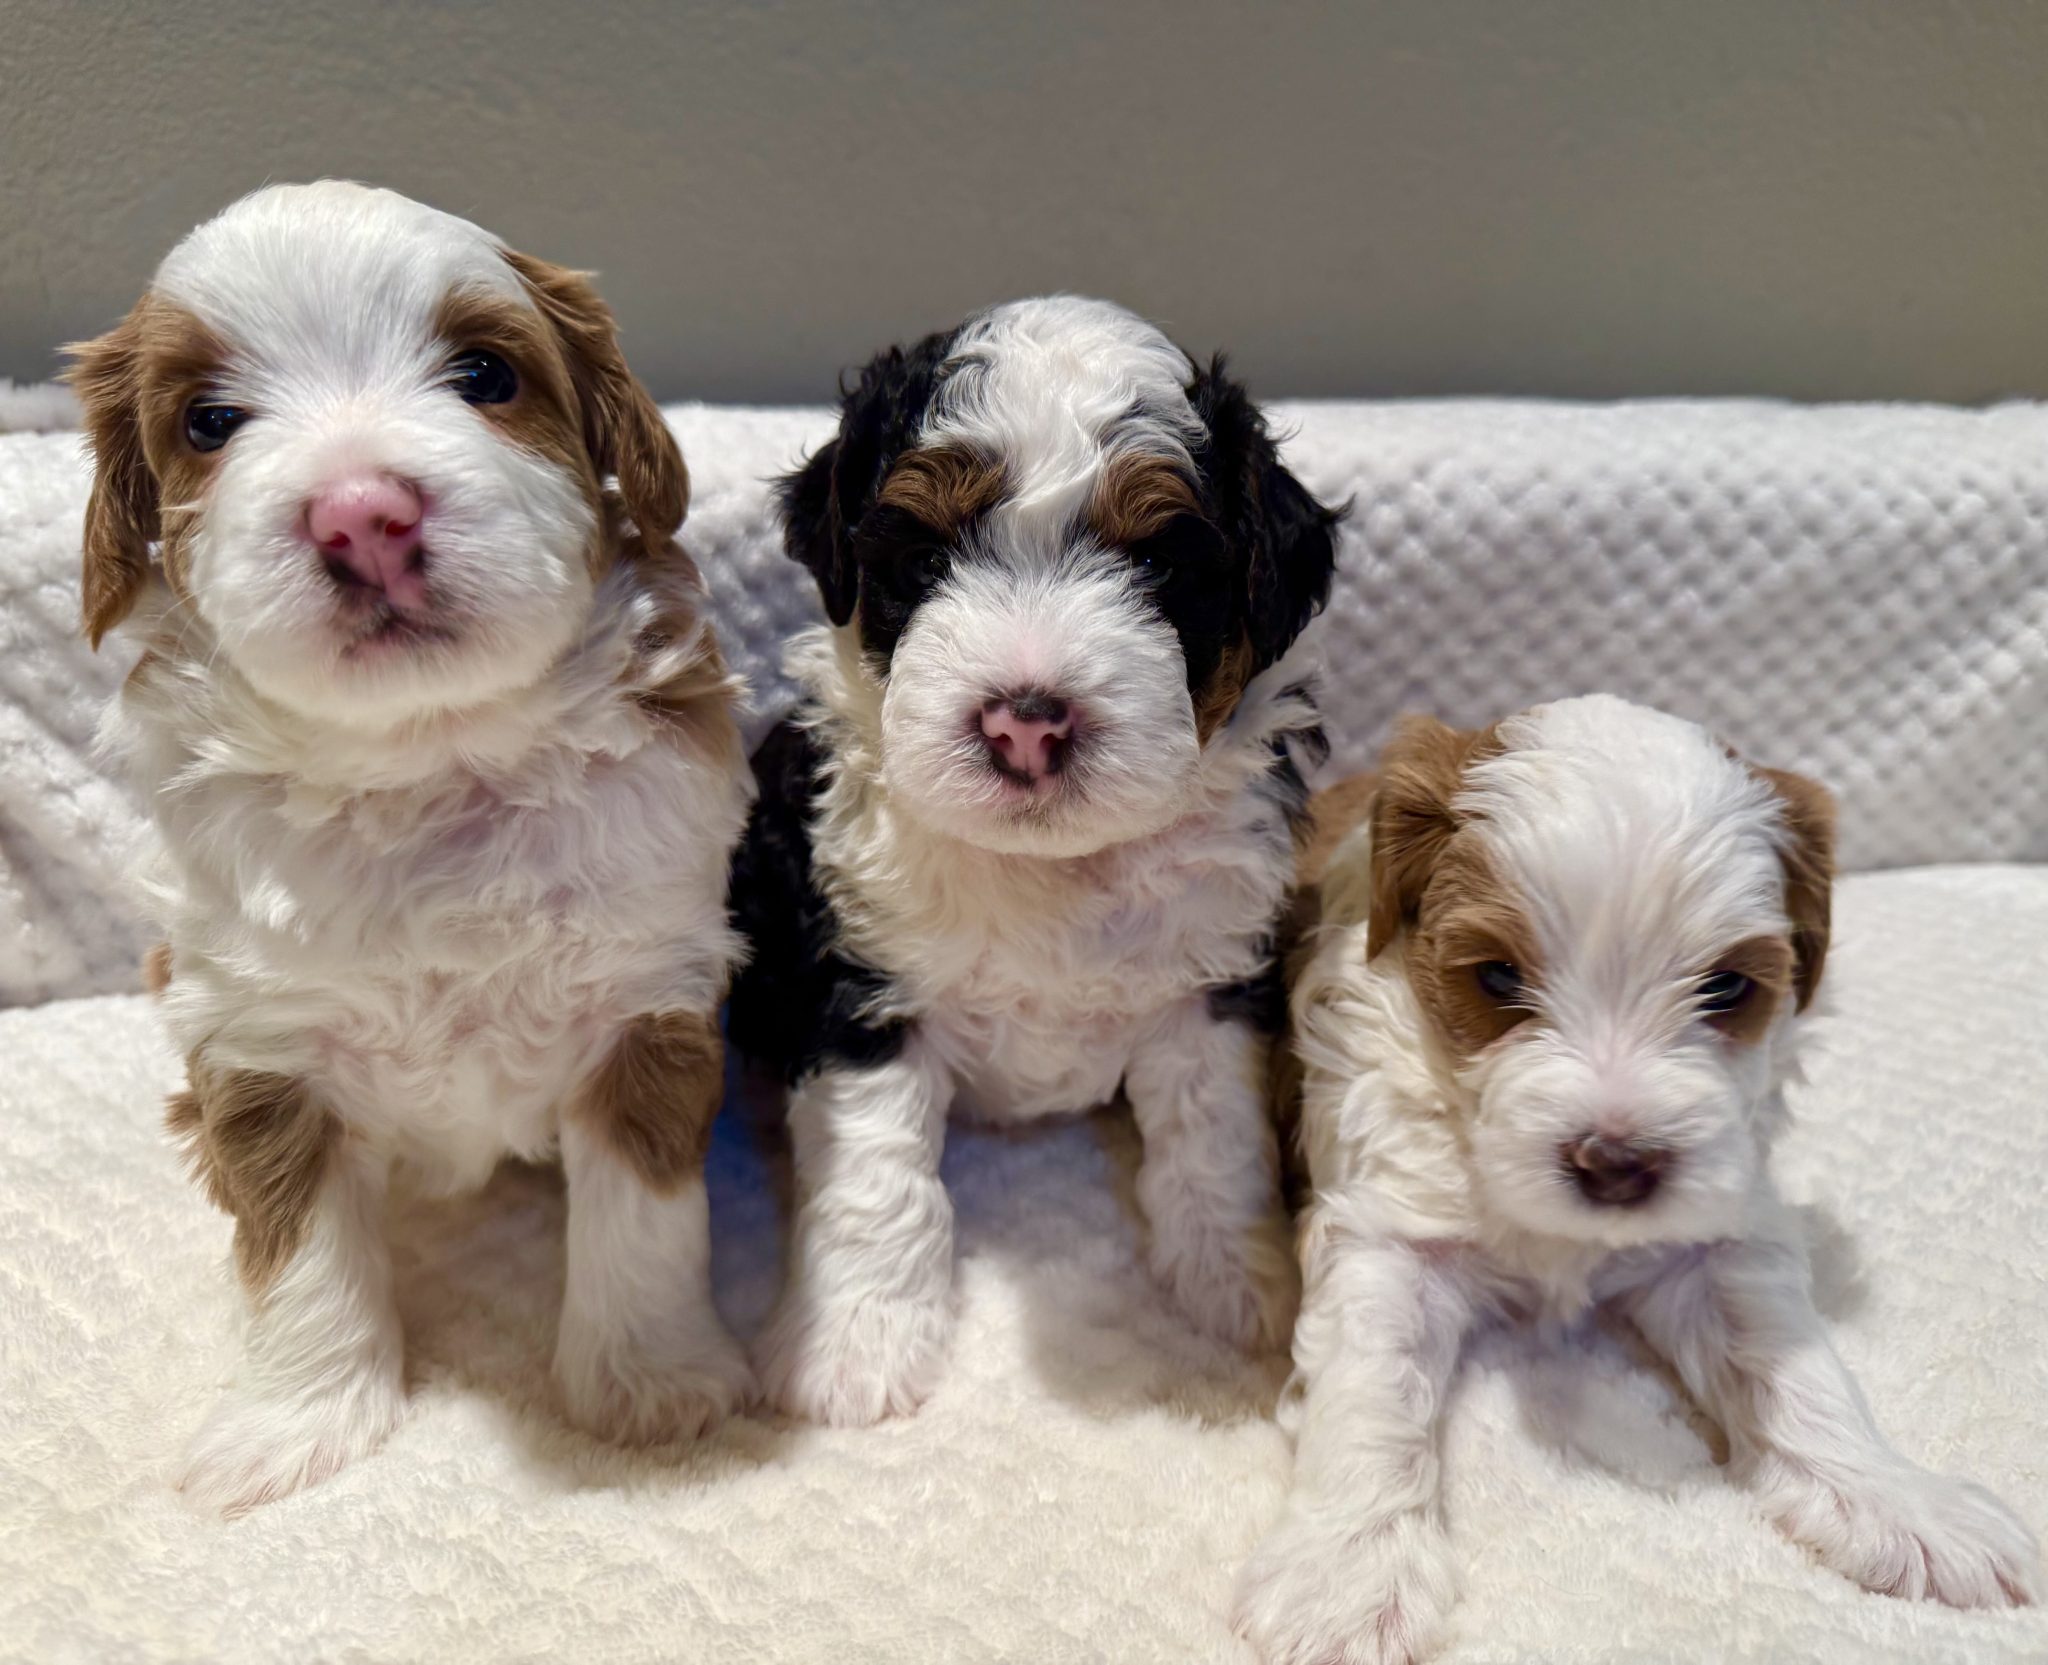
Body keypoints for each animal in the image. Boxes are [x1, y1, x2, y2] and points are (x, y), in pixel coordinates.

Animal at [68, 181, 754, 1511]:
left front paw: (647, 1387)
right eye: (210, 422)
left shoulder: (645, 997)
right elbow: (293, 1249)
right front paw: (295, 1424)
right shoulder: (257, 1040)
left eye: (486, 374)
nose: (361, 516)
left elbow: (644, 1218)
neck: (427, 766)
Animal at [725, 296, 1342, 1424]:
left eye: (1155, 567)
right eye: (924, 560)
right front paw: (859, 1345)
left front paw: (1240, 1281)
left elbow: (1213, 1139)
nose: (1026, 722)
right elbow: (877, 1174)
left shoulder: (1211, 976)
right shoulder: (858, 980)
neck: (1052, 868)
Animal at [1235, 694, 2041, 1663]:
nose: (1617, 1165)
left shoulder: (1718, 1236)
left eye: (1726, 987)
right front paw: (1349, 1572)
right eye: (1497, 976)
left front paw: (1897, 1499)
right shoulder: (1389, 1232)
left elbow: (1799, 1370)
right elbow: (1372, 1388)